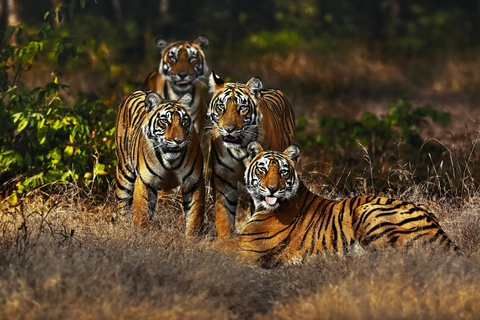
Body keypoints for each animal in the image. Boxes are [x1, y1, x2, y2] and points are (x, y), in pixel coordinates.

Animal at [116, 90, 206, 235]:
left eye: (184, 121)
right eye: (164, 121)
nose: (179, 140)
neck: (170, 161)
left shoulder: (193, 182)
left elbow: (195, 217)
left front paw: (193, 238)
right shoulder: (145, 181)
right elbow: (141, 215)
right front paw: (140, 236)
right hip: (124, 175)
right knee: (122, 207)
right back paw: (123, 230)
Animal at [207, 72, 294, 238]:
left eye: (242, 108)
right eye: (221, 107)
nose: (229, 129)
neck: (239, 148)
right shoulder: (224, 178)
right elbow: (224, 216)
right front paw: (225, 239)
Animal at [238, 142, 460, 268]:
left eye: (283, 172)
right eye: (262, 170)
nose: (273, 189)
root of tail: (441, 233)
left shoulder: (246, 245)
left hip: (367, 210)